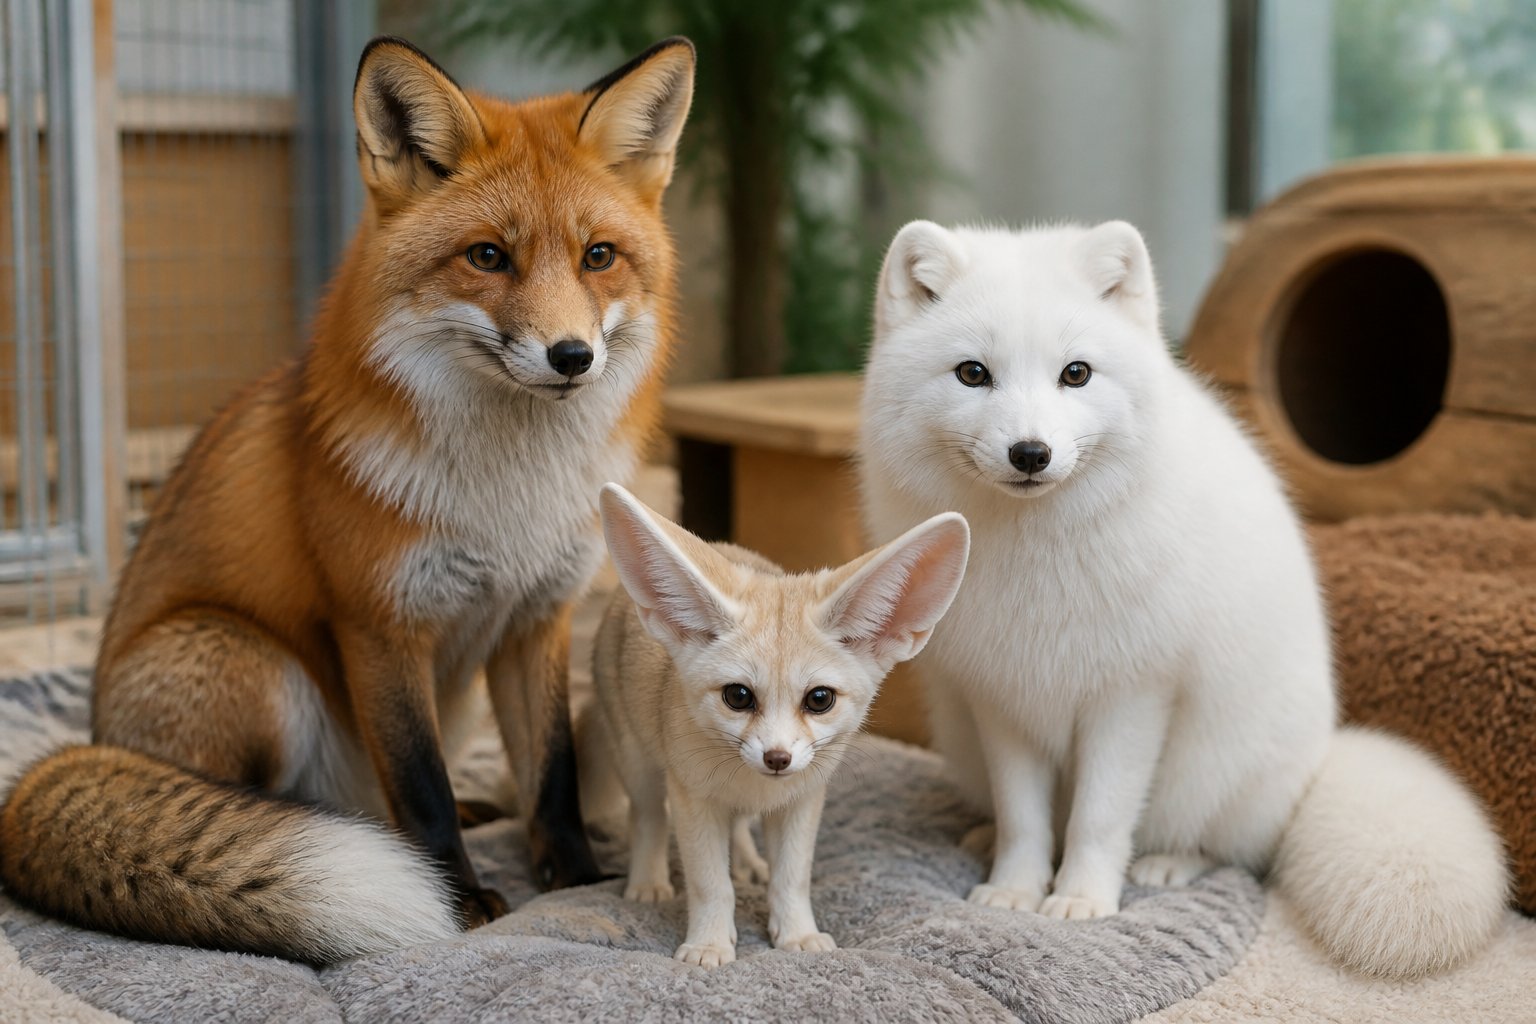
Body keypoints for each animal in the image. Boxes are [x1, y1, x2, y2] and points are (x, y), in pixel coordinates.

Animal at [0, 36, 696, 963]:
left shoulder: (536, 619)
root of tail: (88, 742)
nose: (572, 356)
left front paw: (577, 882)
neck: (511, 499)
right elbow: (422, 788)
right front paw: (457, 901)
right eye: (487, 257)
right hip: (247, 661)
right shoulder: (380, 624)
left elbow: (553, 775)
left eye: (599, 256)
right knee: (272, 803)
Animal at [586, 483, 969, 967]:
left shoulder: (801, 800)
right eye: (738, 697)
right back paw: (648, 881)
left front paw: (797, 935)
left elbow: (791, 879)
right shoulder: (694, 798)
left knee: (736, 827)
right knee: (648, 818)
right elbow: (710, 884)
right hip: (639, 766)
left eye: (819, 699)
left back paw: (748, 862)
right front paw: (709, 943)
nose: (777, 758)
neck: (756, 787)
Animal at [857, 219, 1509, 978]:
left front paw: (1079, 900)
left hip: (1213, 769)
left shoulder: (1134, 692)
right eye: (972, 373)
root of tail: (1320, 759)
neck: (1036, 557)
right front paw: (1015, 890)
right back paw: (983, 837)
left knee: (1230, 851)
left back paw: (1166, 864)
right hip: (963, 740)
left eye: (1075, 373)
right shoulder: (1003, 695)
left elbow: (1100, 816)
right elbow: (1026, 818)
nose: (1030, 453)